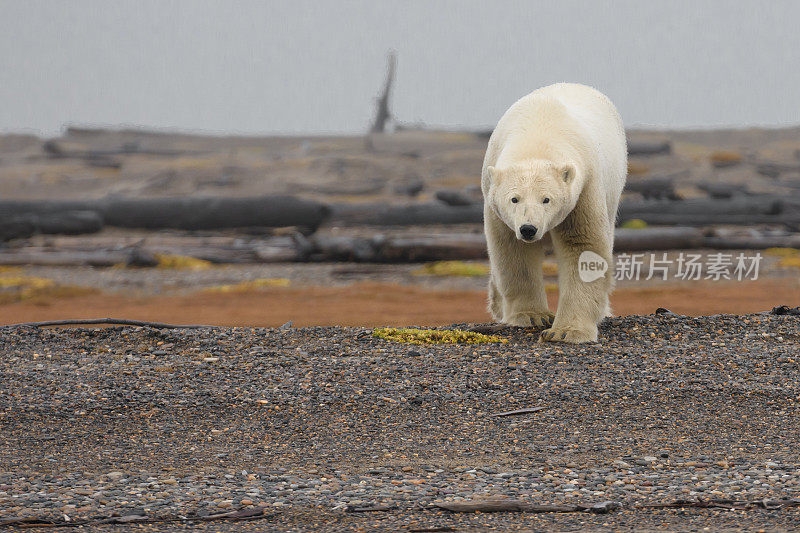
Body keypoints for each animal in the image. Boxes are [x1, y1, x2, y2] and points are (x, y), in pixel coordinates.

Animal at [482, 83, 624, 340]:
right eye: (514, 199)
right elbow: (512, 251)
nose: (528, 229)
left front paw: (567, 331)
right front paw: (532, 315)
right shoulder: (495, 201)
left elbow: (582, 247)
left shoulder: (583, 190)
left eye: (546, 199)